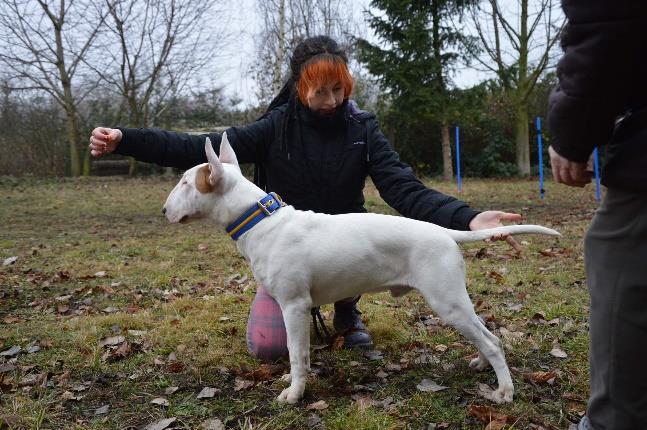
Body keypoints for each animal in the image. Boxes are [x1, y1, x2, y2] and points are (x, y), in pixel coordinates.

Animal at [163, 133, 560, 404]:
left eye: (185, 182)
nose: (165, 211)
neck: (259, 221)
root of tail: (443, 232)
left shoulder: (294, 306)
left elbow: (296, 353)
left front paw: (294, 394)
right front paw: (292, 384)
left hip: (446, 301)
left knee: (492, 341)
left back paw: (504, 391)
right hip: (454, 300)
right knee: (485, 333)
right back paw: (479, 363)